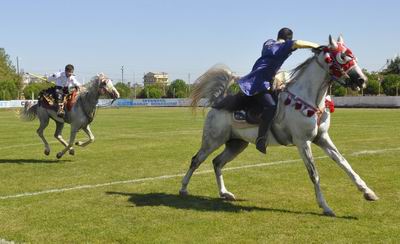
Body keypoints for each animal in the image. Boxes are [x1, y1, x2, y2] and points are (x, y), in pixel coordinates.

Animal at [180, 35, 378, 216]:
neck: (309, 98)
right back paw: (183, 189)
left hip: (237, 144)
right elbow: (314, 173)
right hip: (212, 140)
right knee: (196, 160)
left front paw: (368, 192)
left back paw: (224, 193)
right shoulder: (302, 141)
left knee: (217, 162)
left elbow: (344, 163)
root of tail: (218, 101)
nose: (362, 80)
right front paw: (325, 206)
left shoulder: (321, 138)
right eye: (342, 57)